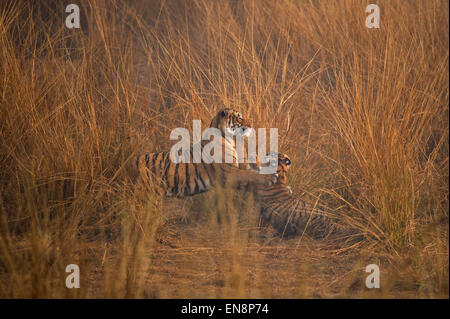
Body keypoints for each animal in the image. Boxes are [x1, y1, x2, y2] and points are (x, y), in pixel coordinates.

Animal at [134, 109, 274, 198]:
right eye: (240, 117)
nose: (251, 124)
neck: (230, 138)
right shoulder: (229, 172)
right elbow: (250, 175)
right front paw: (270, 177)